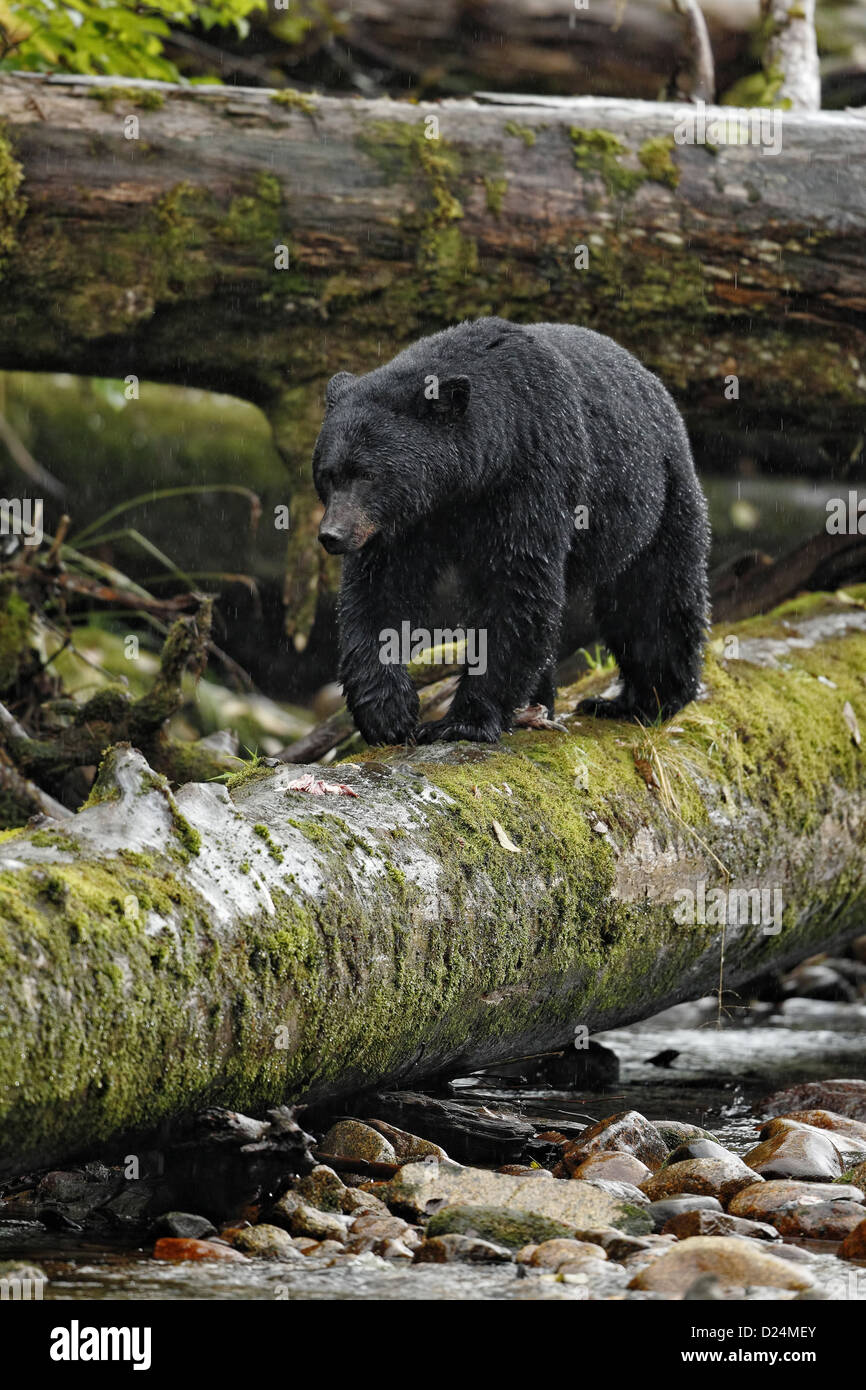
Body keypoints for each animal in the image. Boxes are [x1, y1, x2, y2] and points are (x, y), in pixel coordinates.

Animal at [315, 318, 708, 745]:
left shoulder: (531, 477)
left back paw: (647, 700)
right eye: (328, 474)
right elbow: (379, 594)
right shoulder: (403, 523)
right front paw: (387, 712)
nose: (332, 535)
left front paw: (462, 720)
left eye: (367, 474)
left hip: (658, 495)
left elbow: (517, 587)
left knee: (653, 599)